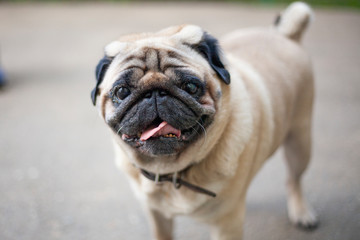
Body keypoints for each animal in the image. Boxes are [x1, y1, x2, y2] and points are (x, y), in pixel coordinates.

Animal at [92, 2, 318, 240]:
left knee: (294, 179)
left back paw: (301, 212)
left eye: (191, 86)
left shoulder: (226, 224)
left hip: (300, 142)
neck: (171, 173)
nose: (155, 93)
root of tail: (285, 35)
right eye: (122, 91)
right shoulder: (156, 214)